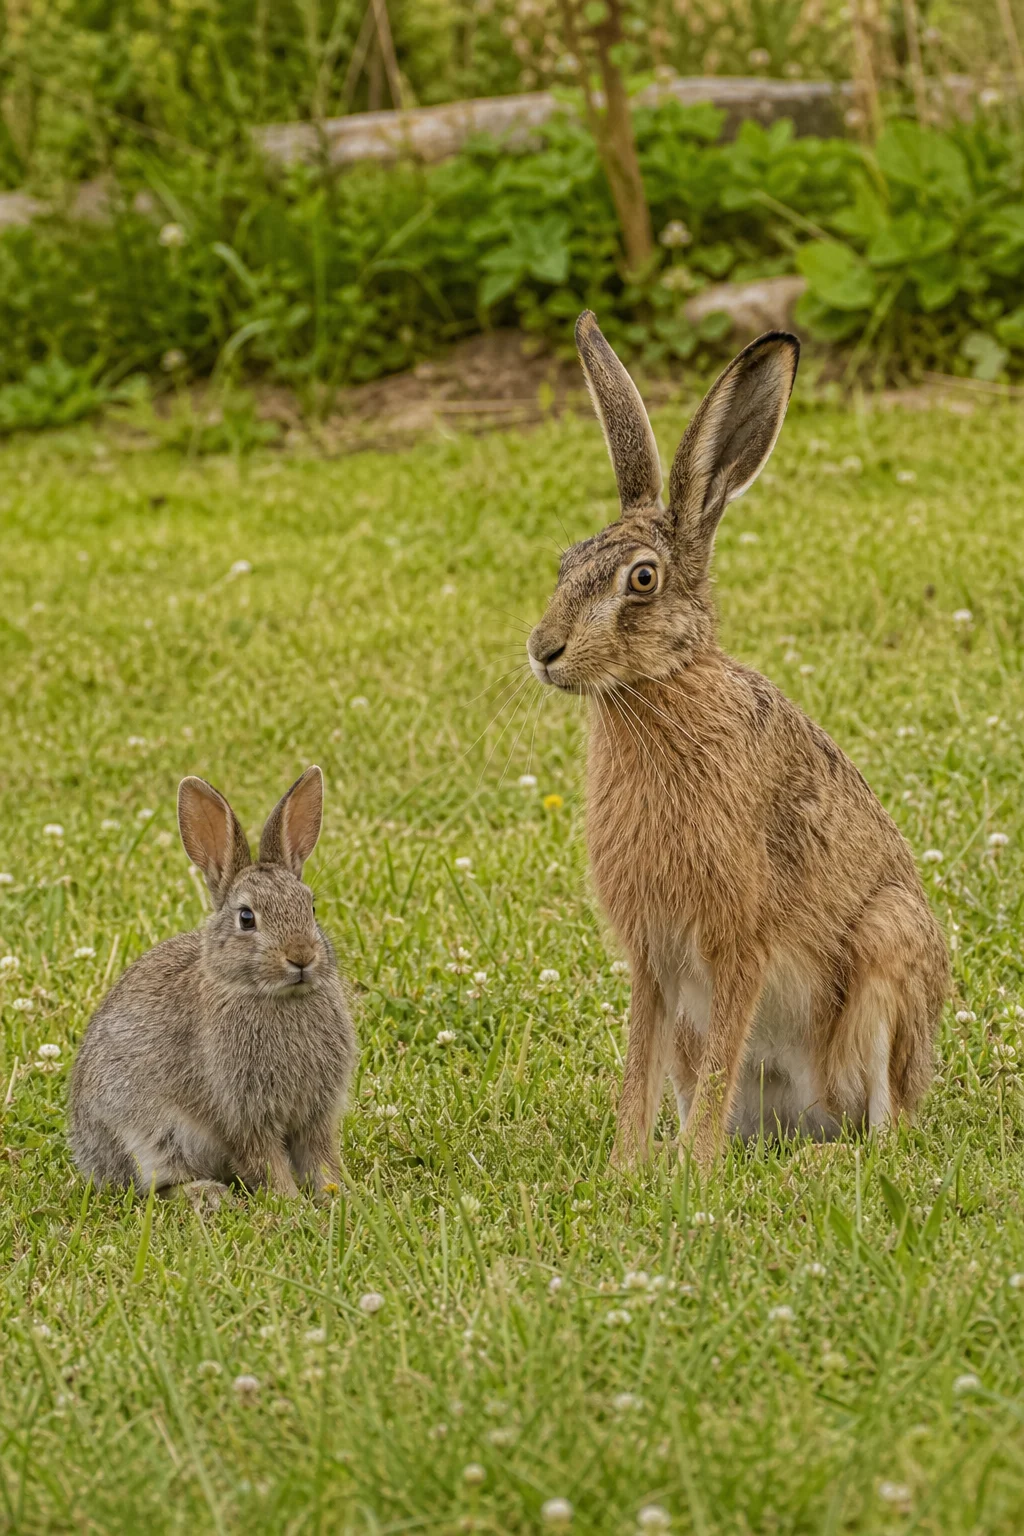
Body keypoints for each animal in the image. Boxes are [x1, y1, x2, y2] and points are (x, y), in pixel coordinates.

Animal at [69, 766, 356, 1206]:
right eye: (246, 918)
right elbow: (265, 1162)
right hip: (147, 1137)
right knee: (157, 1187)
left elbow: (320, 1158)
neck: (275, 996)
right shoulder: (241, 1114)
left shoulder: (315, 1114)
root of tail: (88, 1157)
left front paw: (338, 1196)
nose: (301, 957)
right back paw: (209, 1196)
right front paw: (291, 1204)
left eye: (311, 907)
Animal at [527, 312, 948, 1169]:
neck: (660, 691)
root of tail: (811, 1113)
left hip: (890, 948)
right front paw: (629, 1168)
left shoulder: (740, 942)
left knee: (887, 1128)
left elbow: (723, 1047)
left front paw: (690, 1172)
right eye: (566, 563)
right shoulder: (654, 959)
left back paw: (817, 1158)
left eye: (642, 579)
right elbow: (640, 1064)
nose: (543, 651)